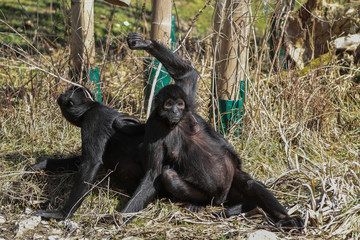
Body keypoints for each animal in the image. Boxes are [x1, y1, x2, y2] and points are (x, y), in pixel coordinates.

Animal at [24, 86, 146, 219]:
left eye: (67, 92)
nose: (61, 94)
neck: (91, 107)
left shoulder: (94, 119)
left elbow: (90, 163)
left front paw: (64, 213)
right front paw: (40, 165)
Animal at [121, 32, 304, 229]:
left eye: (179, 104)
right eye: (168, 105)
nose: (176, 111)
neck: (174, 124)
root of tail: (223, 196)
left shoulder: (186, 97)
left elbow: (188, 73)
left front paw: (144, 43)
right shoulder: (153, 126)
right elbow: (153, 173)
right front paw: (120, 217)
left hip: (232, 181)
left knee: (250, 184)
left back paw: (286, 219)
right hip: (211, 196)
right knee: (169, 175)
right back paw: (200, 205)